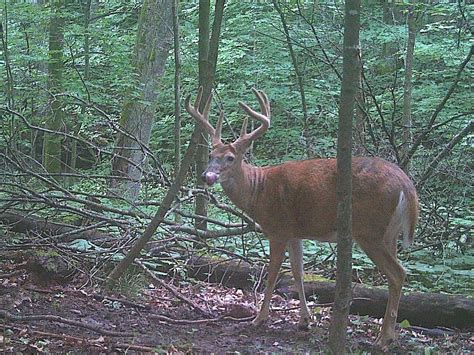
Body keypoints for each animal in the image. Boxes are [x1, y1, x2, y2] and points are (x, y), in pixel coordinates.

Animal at [185, 87, 418, 346]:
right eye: (210, 154)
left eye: (230, 158)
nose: (207, 176)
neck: (258, 190)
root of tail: (406, 185)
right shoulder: (295, 232)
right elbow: (298, 271)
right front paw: (305, 320)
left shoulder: (277, 229)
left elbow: (272, 273)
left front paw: (259, 318)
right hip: (389, 234)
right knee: (396, 273)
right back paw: (390, 334)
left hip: (369, 230)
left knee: (398, 273)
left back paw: (384, 338)